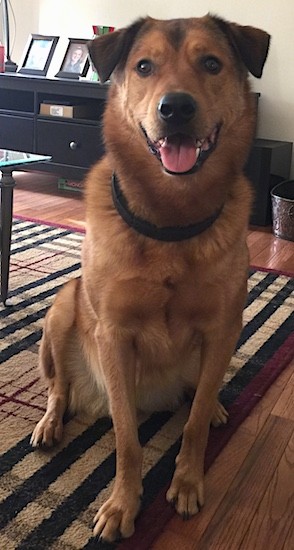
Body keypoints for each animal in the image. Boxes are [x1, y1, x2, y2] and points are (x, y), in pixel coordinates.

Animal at [31, 14, 270, 544]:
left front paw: (186, 481)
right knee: (58, 387)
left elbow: (194, 424)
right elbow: (127, 438)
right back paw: (50, 423)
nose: (176, 107)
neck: (170, 222)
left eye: (211, 64)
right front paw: (123, 504)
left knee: (200, 391)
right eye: (144, 66)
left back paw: (214, 404)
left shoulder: (222, 327)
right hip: (63, 307)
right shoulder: (115, 335)